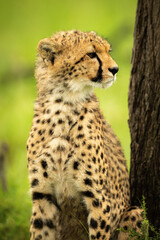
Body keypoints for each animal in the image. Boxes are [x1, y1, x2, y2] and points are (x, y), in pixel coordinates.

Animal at [26, 30, 142, 240]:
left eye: (108, 50)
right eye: (91, 54)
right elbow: (40, 232)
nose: (115, 69)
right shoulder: (42, 196)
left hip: (135, 211)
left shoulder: (98, 197)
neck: (63, 104)